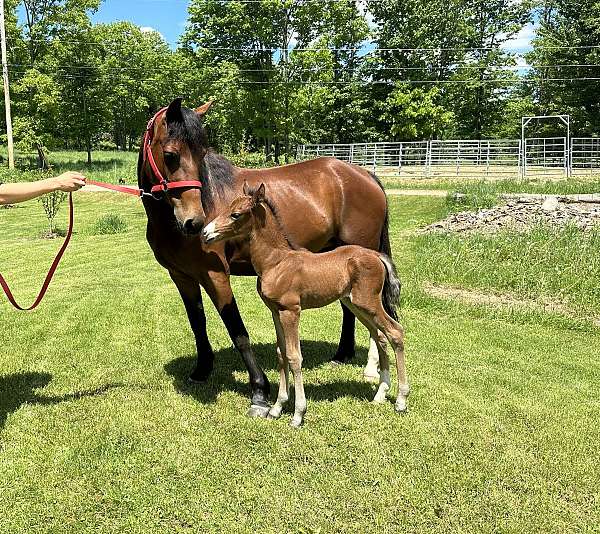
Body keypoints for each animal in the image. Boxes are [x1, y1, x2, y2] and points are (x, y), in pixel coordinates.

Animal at [137, 99, 390, 418]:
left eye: (202, 155)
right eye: (171, 155)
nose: (195, 223)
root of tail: (365, 175)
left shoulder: (215, 275)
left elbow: (237, 330)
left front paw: (259, 391)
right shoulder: (182, 276)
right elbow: (198, 323)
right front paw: (202, 370)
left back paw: (370, 368)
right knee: (350, 311)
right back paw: (343, 354)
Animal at [202, 182, 408, 430]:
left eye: (236, 214)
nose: (205, 233)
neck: (276, 262)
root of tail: (377, 255)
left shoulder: (291, 310)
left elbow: (294, 356)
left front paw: (298, 414)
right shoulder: (275, 311)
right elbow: (281, 353)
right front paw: (276, 408)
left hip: (369, 302)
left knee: (395, 332)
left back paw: (401, 400)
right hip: (356, 304)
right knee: (380, 337)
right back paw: (379, 394)